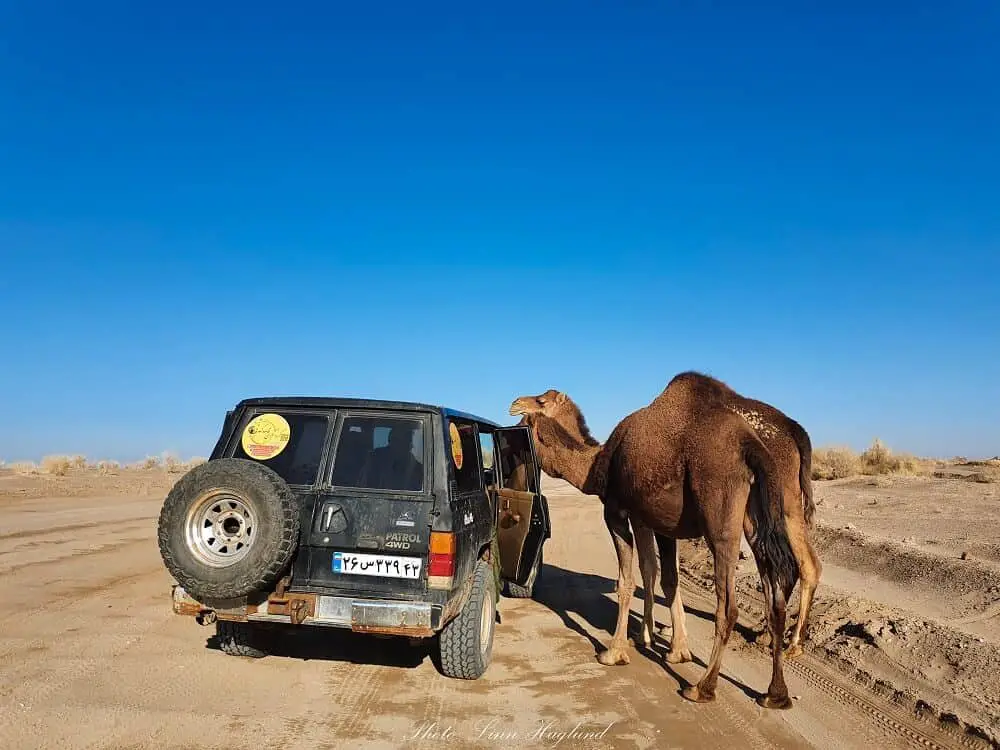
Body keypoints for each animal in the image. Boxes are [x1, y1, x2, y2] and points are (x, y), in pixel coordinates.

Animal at [512, 376, 800, 712]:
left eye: (540, 402)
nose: (514, 405)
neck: (596, 466)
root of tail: (751, 446)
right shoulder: (657, 522)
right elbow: (662, 576)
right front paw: (668, 646)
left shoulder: (616, 511)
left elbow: (627, 580)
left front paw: (615, 652)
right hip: (757, 520)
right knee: (776, 601)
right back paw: (775, 694)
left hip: (720, 513)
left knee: (728, 606)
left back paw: (702, 687)